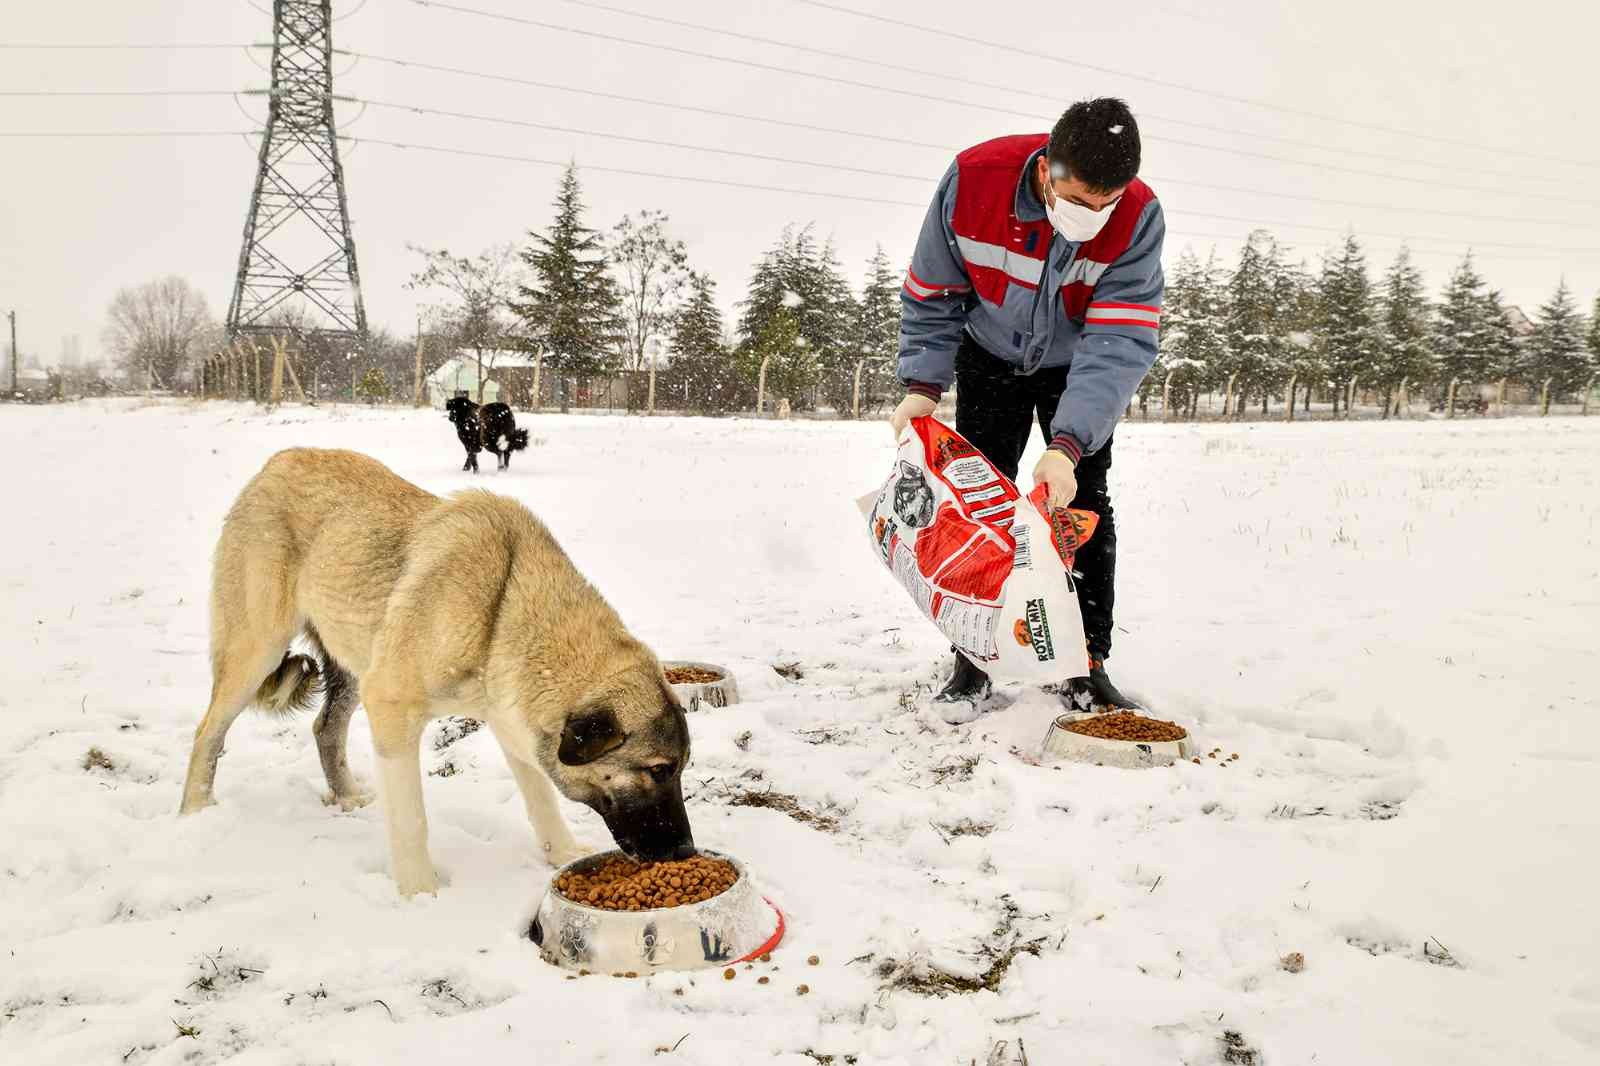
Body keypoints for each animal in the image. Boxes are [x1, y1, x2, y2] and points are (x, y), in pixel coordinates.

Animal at [181, 444, 694, 889]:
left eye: (680, 768)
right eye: (660, 770)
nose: (687, 852)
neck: (502, 609)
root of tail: (277, 462)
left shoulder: (511, 721)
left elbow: (541, 800)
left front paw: (563, 855)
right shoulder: (391, 709)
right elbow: (412, 820)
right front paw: (419, 894)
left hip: (353, 664)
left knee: (325, 728)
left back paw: (346, 797)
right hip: (258, 650)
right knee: (208, 732)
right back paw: (194, 813)